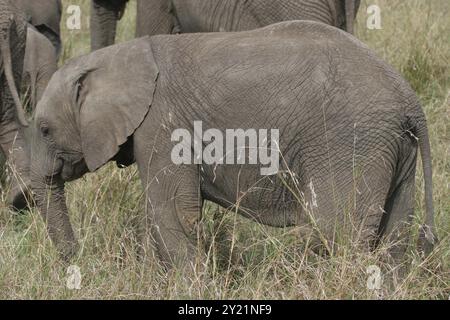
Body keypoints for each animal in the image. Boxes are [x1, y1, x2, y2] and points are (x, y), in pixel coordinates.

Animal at [29, 21, 436, 268]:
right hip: (392, 148)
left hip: (351, 140)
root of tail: (411, 102)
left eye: (45, 130)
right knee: (393, 238)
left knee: (337, 232)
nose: (78, 260)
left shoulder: (162, 124)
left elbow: (172, 212)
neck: (116, 57)